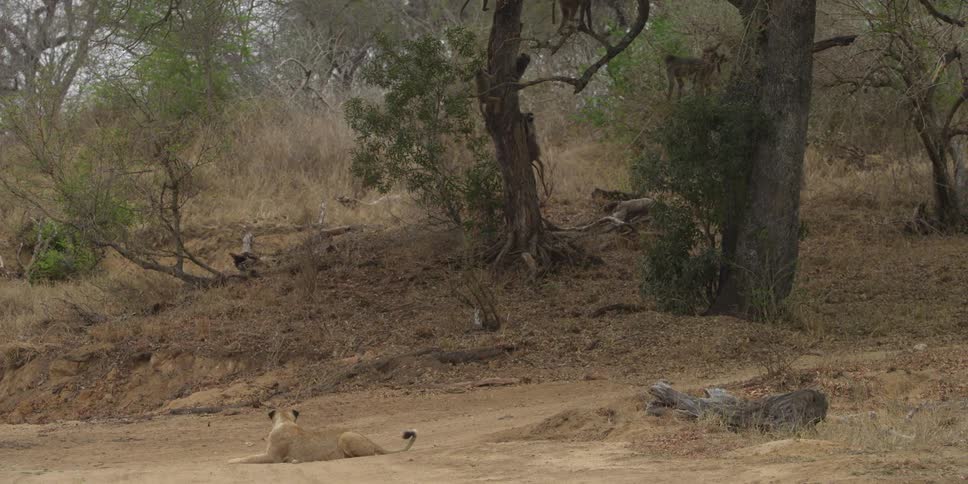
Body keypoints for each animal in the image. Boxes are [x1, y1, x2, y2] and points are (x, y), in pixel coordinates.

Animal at [228, 409, 417, 464]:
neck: (285, 421)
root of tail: (370, 439)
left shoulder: (272, 457)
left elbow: (248, 458)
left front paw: (230, 461)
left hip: (345, 436)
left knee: (367, 455)